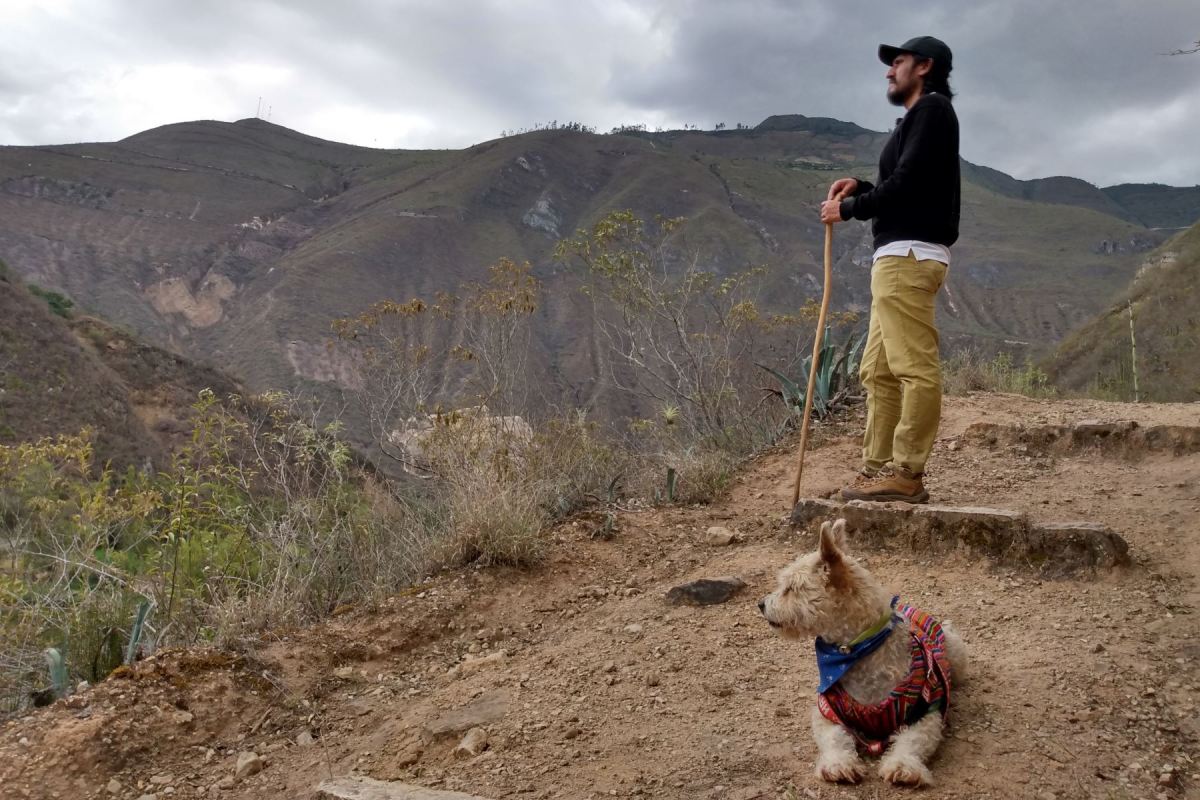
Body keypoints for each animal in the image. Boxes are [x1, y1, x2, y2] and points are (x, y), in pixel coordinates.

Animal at [758, 520, 964, 786]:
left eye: (791, 588)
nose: (761, 604)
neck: (854, 651)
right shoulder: (827, 711)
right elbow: (834, 738)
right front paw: (838, 765)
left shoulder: (926, 711)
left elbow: (913, 741)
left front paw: (903, 767)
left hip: (956, 657)